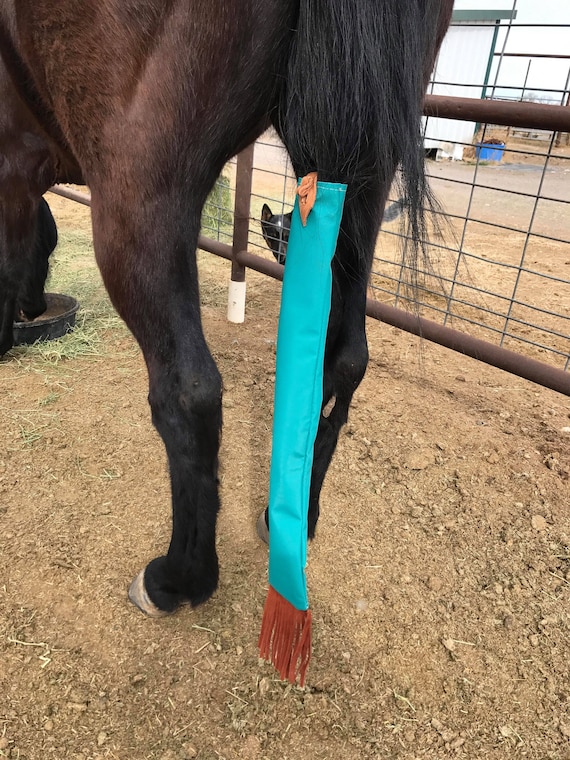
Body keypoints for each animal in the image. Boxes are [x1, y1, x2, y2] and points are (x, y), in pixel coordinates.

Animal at [0, 0, 453, 618]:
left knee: (189, 391)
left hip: (140, 190)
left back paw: (176, 579)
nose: (31, 311)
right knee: (344, 362)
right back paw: (295, 518)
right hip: (360, 171)